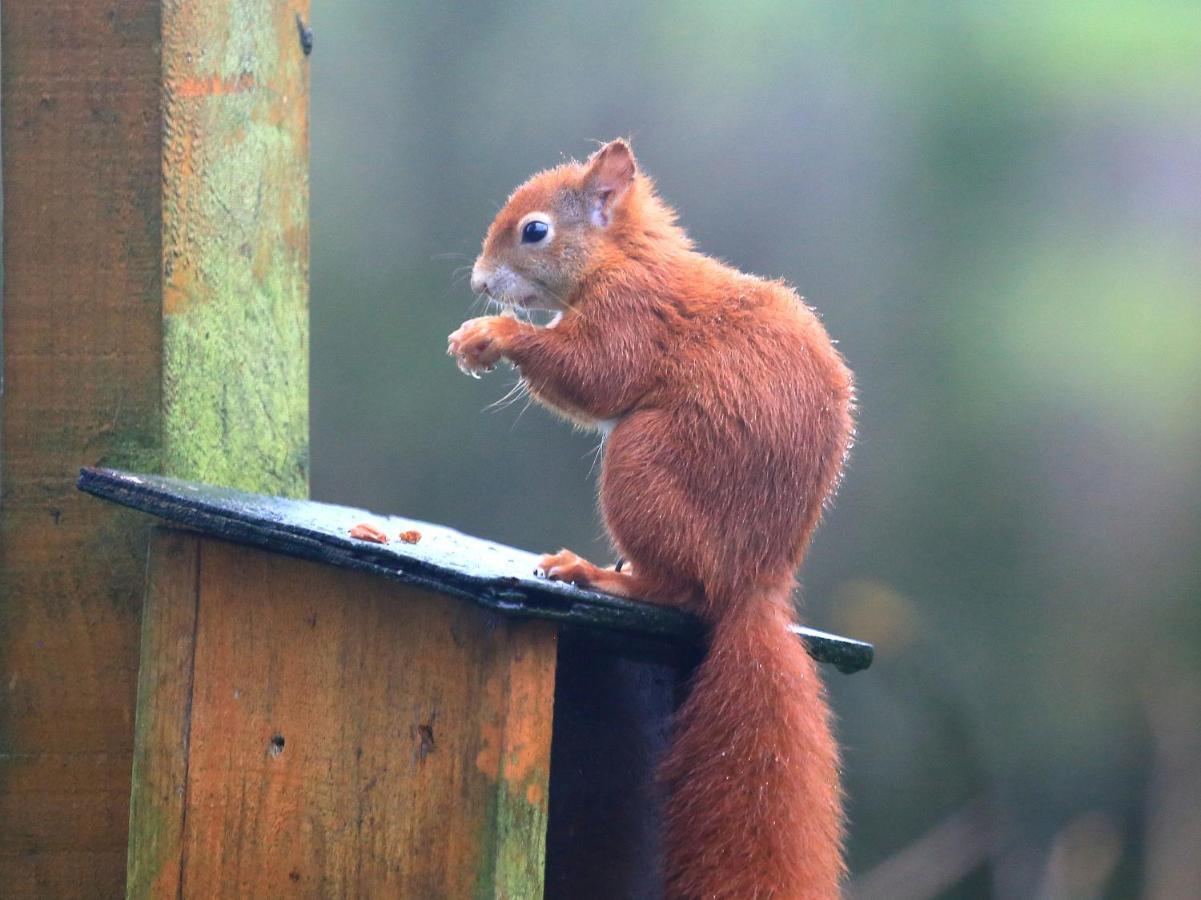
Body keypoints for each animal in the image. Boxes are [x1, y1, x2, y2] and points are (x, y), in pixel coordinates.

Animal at [451, 140, 855, 898]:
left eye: (534, 232)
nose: (481, 283)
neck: (621, 257)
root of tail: (752, 584)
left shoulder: (630, 316)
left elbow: (596, 374)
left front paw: (494, 334)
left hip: (643, 464)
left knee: (677, 591)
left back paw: (600, 575)